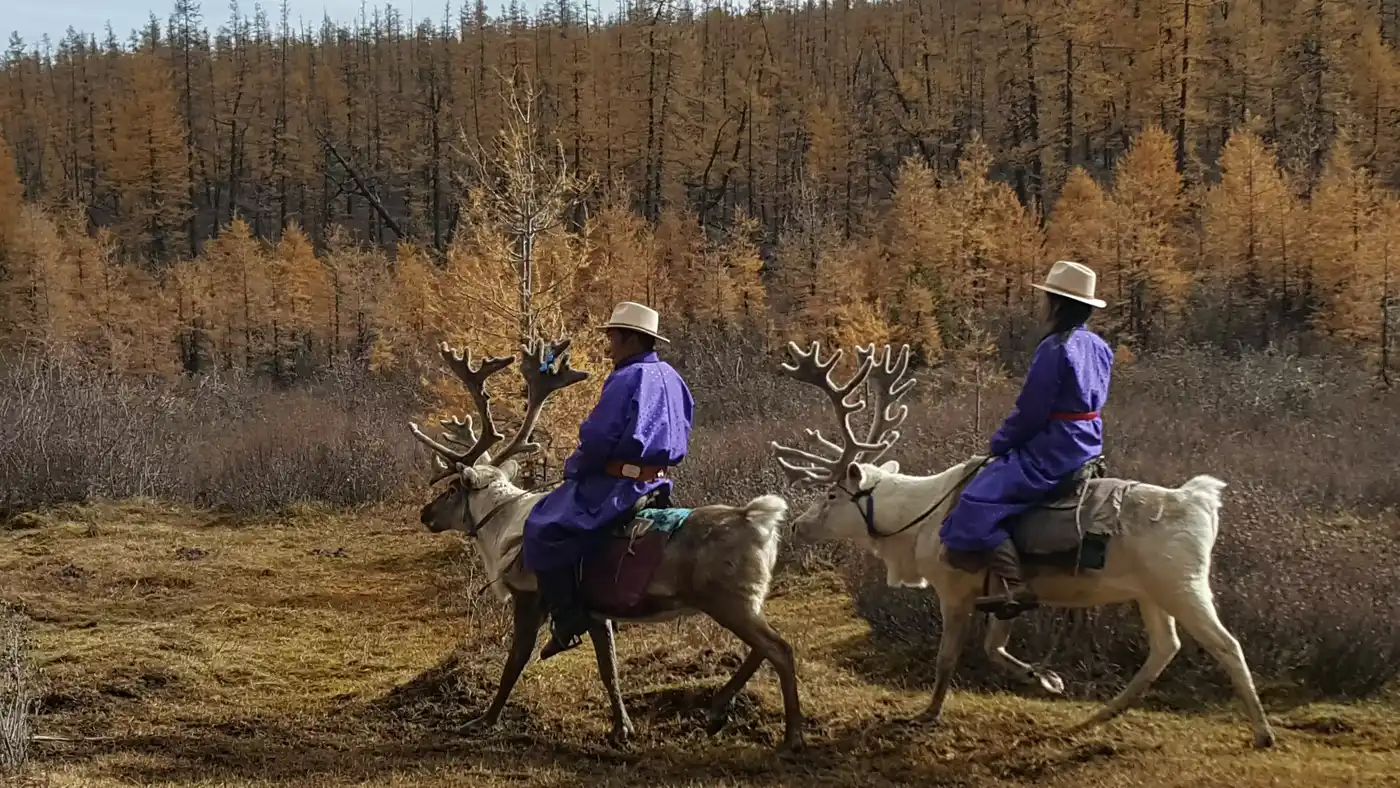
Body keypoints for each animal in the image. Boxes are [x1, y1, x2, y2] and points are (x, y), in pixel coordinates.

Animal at [408, 336, 806, 752]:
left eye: (453, 487)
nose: (425, 514)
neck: (502, 527)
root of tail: (756, 519)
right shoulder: (596, 612)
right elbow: (608, 669)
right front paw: (622, 727)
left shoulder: (530, 598)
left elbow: (514, 662)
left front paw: (483, 719)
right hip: (743, 601)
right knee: (766, 647)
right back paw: (718, 709)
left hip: (729, 601)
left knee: (780, 649)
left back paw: (791, 735)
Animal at [767, 339, 1277, 750]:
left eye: (832, 495)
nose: (798, 527)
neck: (915, 526)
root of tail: (1202, 502)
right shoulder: (1003, 593)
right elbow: (994, 648)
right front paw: (1047, 679)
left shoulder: (956, 588)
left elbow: (947, 657)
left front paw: (928, 713)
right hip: (1151, 593)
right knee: (1164, 649)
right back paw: (1098, 716)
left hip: (1183, 584)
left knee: (1226, 644)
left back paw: (1262, 732)